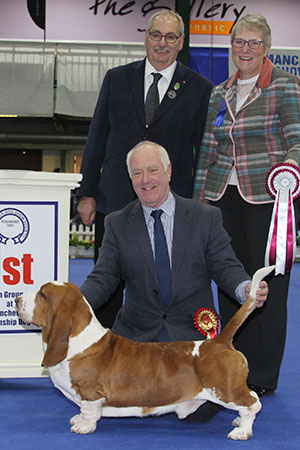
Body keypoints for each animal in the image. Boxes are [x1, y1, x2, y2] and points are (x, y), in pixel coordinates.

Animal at [15, 268, 274, 440]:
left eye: (42, 295)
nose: (16, 299)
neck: (77, 340)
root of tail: (219, 341)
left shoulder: (91, 393)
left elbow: (88, 411)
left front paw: (83, 426)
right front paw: (78, 420)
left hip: (224, 390)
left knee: (253, 403)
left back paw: (242, 430)